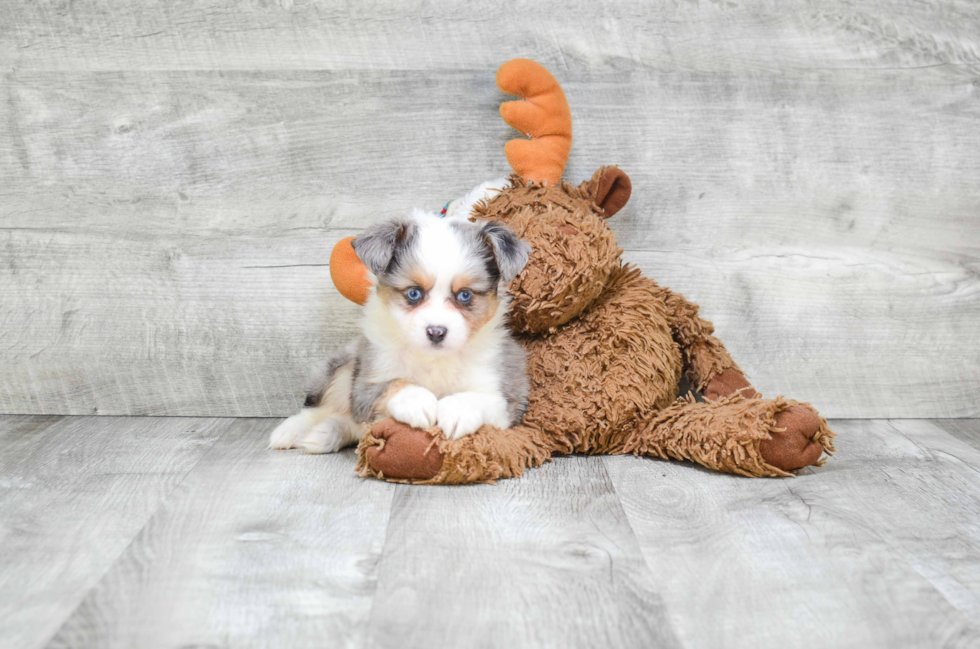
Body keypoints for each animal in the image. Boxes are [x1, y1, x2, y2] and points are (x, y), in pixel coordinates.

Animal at [268, 210, 532, 454]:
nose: (436, 332)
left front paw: (457, 411)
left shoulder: (505, 395)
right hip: (343, 365)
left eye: (465, 295)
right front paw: (418, 401)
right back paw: (292, 431)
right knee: (324, 408)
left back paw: (323, 434)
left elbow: (478, 397)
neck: (432, 359)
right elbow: (393, 383)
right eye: (414, 293)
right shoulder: (365, 386)